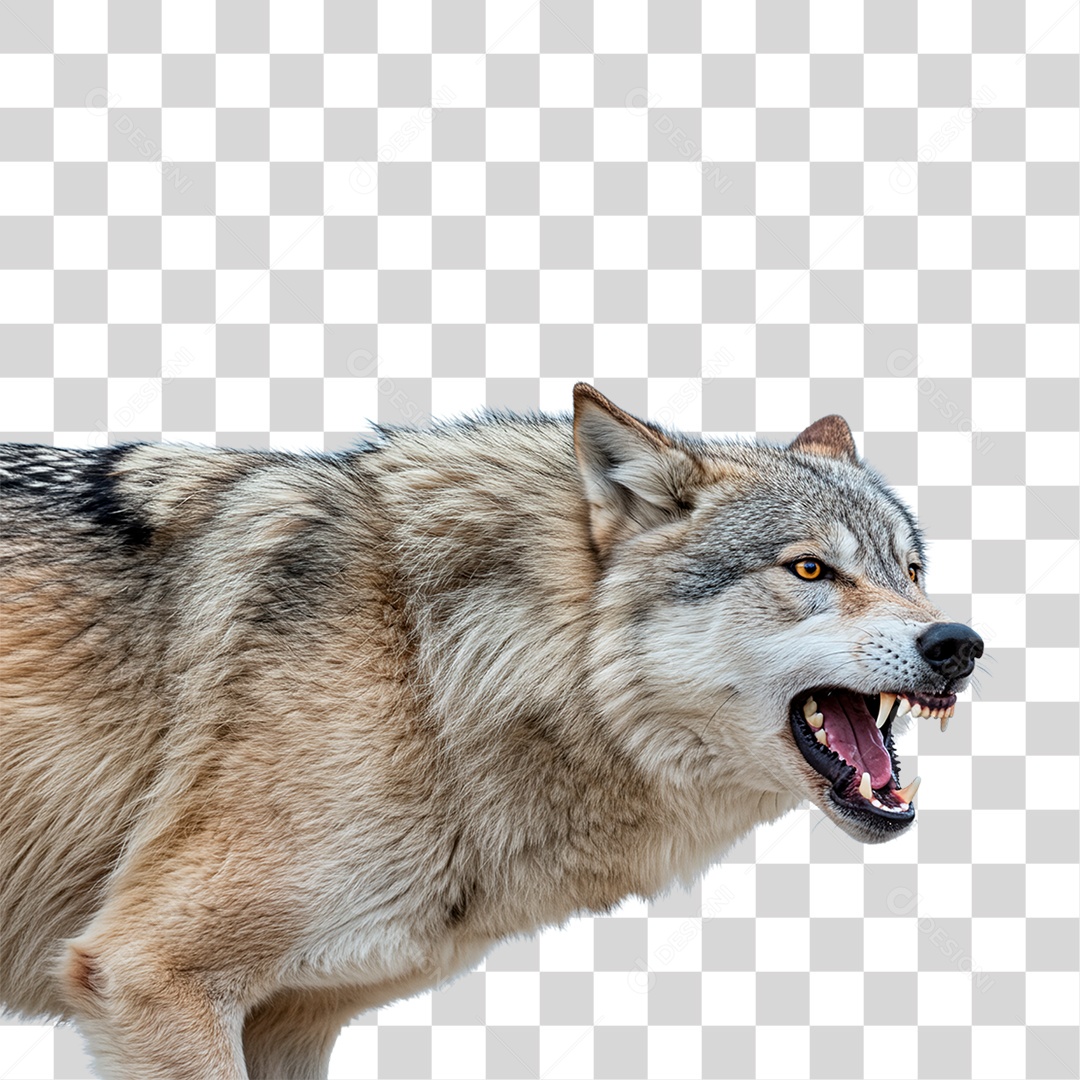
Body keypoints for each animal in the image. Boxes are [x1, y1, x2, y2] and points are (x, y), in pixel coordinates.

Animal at [0, 384, 982, 1079]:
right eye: (810, 570)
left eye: (911, 569)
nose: (959, 644)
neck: (430, 662)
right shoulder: (148, 976)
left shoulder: (291, 1020)